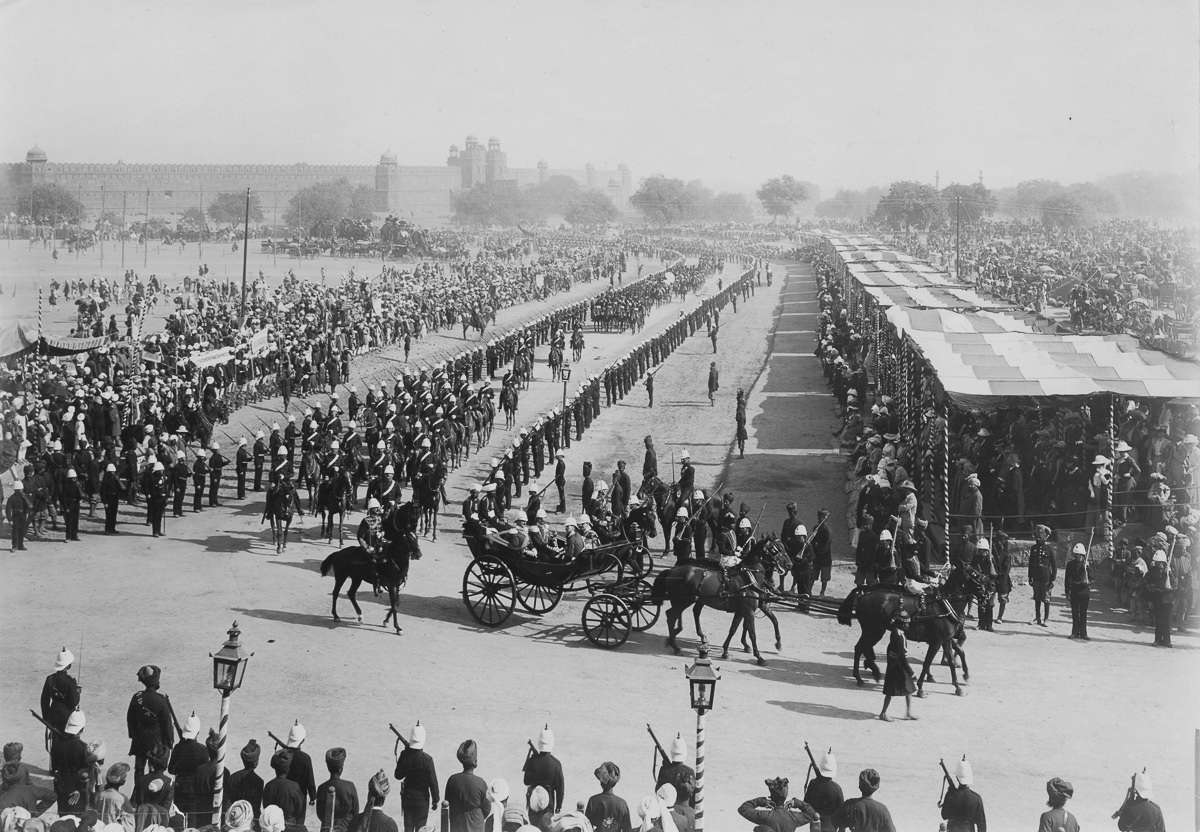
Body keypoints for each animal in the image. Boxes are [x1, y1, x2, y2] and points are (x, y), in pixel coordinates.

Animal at [321, 501, 424, 633]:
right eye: (408, 539)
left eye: (416, 537)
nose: (418, 554)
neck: (394, 560)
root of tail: (338, 553)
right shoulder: (391, 586)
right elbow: (394, 606)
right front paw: (397, 627)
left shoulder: (397, 586)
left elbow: (396, 604)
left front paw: (386, 621)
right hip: (341, 577)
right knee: (335, 593)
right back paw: (336, 616)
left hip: (356, 578)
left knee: (351, 593)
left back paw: (360, 615)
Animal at [652, 535, 792, 667]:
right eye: (775, 549)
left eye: (784, 547)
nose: (790, 565)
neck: (748, 577)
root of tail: (672, 570)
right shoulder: (749, 611)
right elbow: (752, 634)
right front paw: (759, 657)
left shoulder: (742, 611)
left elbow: (734, 629)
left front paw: (726, 650)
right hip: (683, 600)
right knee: (672, 617)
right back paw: (676, 646)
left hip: (687, 600)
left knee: (677, 614)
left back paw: (678, 638)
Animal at [835, 564, 993, 696]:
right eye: (975, 574)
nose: (990, 591)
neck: (944, 604)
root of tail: (863, 593)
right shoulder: (936, 642)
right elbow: (927, 662)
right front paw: (921, 687)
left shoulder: (946, 640)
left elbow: (952, 661)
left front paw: (958, 686)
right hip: (874, 630)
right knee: (859, 648)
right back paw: (861, 676)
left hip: (873, 631)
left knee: (863, 648)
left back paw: (871, 670)